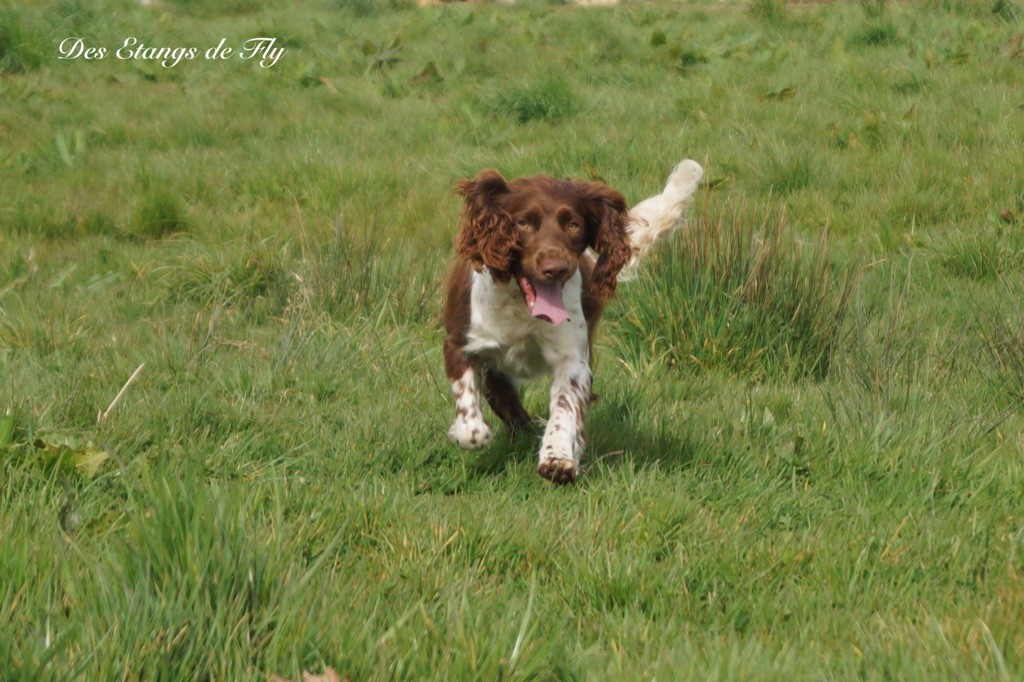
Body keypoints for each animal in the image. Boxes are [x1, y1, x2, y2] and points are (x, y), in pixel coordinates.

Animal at [440, 158, 704, 481]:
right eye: (523, 223)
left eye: (573, 224)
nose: (555, 268)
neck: (520, 306)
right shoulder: (460, 343)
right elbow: (471, 424)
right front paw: (466, 432)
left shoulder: (573, 358)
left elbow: (565, 409)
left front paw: (558, 458)